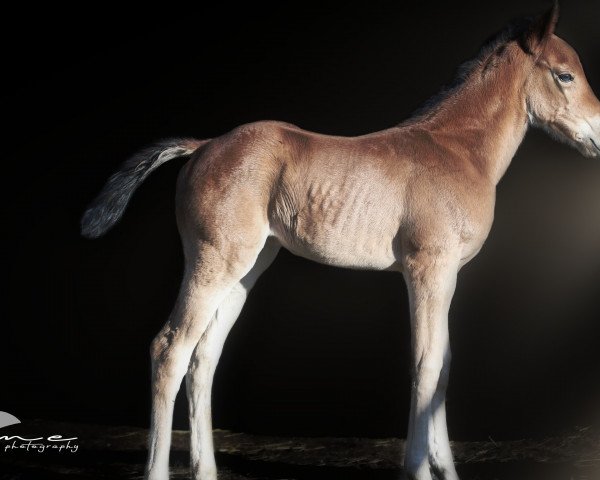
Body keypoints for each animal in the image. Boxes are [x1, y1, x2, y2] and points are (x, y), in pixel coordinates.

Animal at [81, 5, 600, 480]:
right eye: (565, 75)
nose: (598, 133)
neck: (456, 149)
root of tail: (203, 145)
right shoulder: (428, 268)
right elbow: (426, 362)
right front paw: (417, 469)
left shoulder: (446, 275)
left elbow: (445, 364)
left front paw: (444, 468)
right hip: (213, 262)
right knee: (169, 349)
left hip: (246, 269)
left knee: (204, 357)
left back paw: (206, 470)